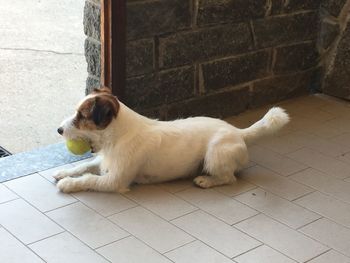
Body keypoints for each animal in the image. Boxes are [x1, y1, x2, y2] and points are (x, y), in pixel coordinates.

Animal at [55, 87, 290, 193]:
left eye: (81, 116)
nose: (58, 129)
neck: (118, 136)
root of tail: (239, 133)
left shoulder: (115, 180)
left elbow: (88, 179)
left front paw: (69, 184)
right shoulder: (104, 161)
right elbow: (84, 166)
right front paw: (64, 173)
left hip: (215, 154)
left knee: (229, 178)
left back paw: (206, 180)